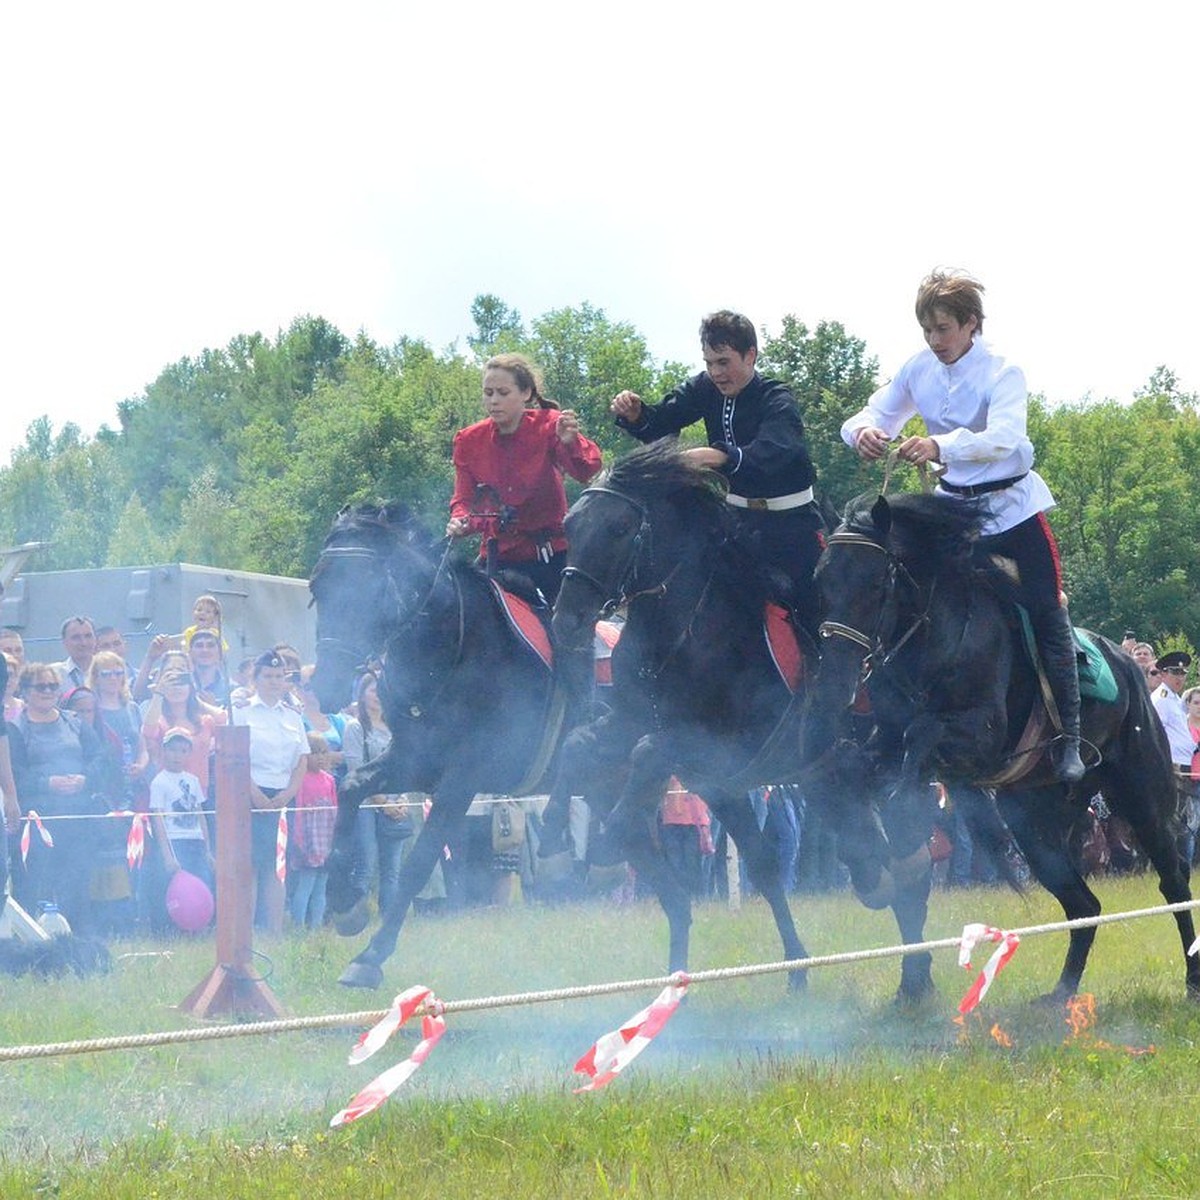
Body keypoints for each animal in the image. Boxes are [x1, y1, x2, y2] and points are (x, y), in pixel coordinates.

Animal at [549, 441, 931, 993]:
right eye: (570, 525)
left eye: (619, 529)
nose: (566, 621)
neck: (689, 630)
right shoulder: (691, 762)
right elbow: (581, 745)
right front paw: (556, 829)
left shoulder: (732, 746)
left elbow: (649, 752)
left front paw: (607, 839)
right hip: (828, 780)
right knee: (876, 858)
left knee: (907, 862)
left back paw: (916, 975)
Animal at [806, 489, 1200, 1003]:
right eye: (822, 580)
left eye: (875, 584)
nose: (835, 682)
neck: (937, 639)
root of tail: (1129, 669)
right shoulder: (883, 740)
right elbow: (850, 767)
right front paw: (868, 864)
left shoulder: (982, 737)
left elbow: (920, 736)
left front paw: (898, 814)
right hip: (1035, 823)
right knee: (1083, 903)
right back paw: (1061, 995)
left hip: (1141, 796)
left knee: (1173, 883)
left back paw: (1192, 980)